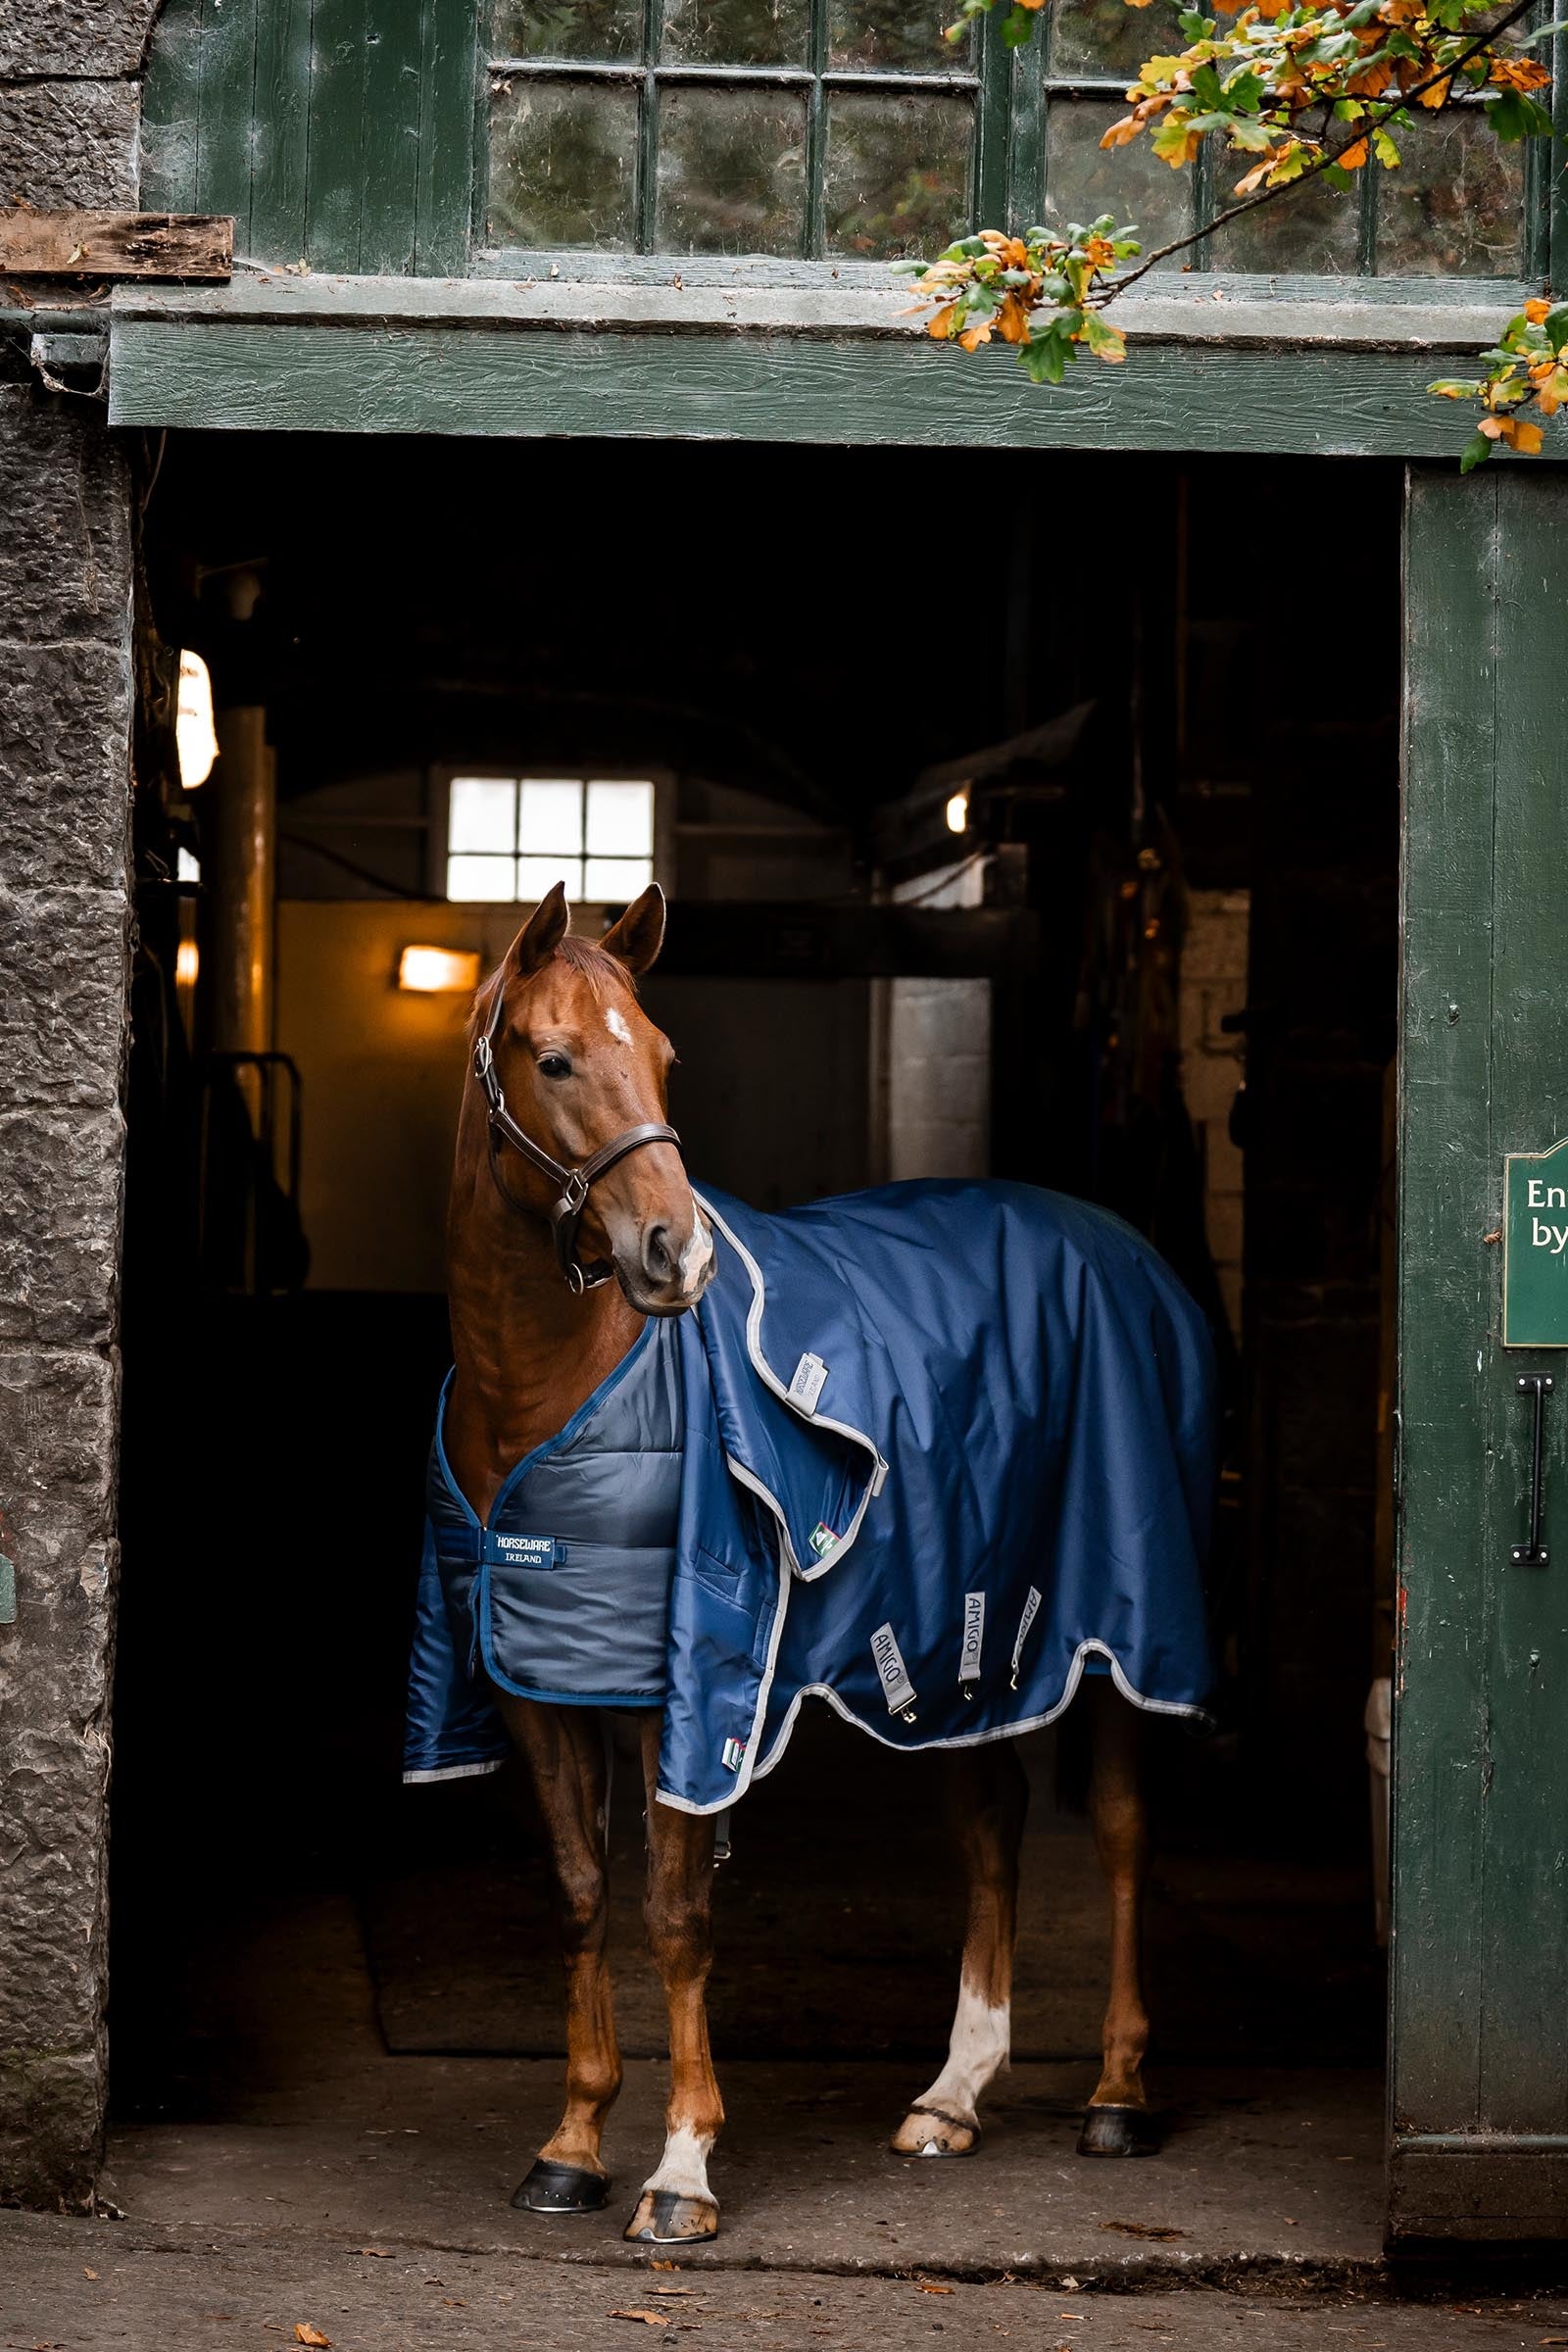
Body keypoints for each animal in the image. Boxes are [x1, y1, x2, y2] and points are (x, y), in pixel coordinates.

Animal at [425, 878, 1211, 2245]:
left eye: (665, 1056)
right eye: (556, 1058)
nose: (675, 1256)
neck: (549, 1387)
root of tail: (1127, 1250)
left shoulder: (681, 1693)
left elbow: (675, 1913)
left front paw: (681, 2169)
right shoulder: (536, 1680)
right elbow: (578, 1895)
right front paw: (571, 2145)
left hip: (1117, 1637)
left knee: (1120, 1831)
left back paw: (1117, 2091)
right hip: (967, 1645)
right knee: (990, 1822)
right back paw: (951, 2095)